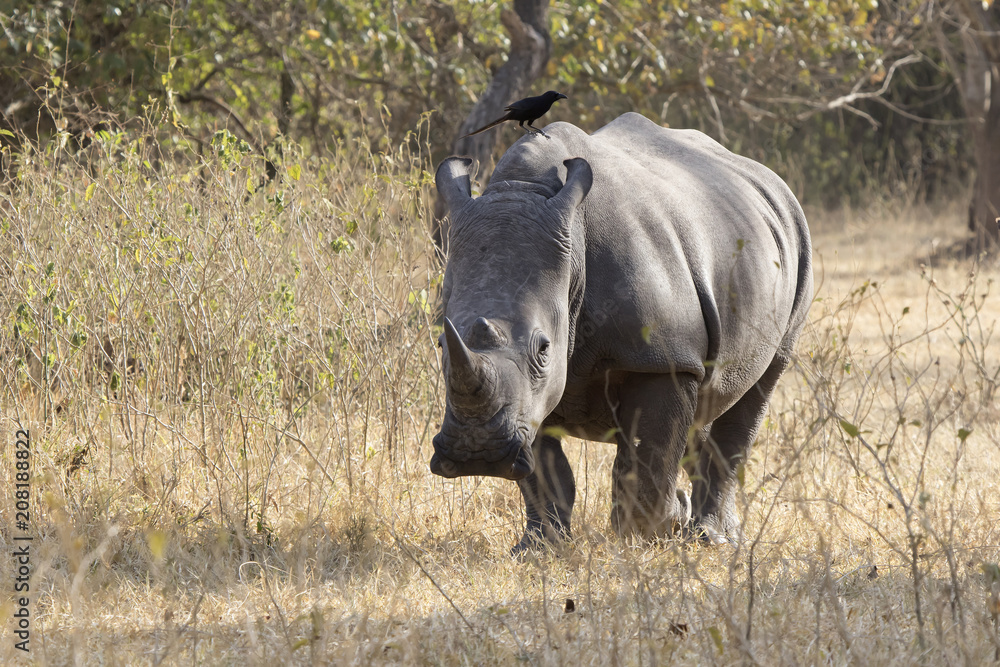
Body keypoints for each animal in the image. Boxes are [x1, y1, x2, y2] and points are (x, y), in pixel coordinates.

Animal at [432, 113, 812, 551]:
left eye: (543, 348)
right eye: (441, 343)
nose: (477, 454)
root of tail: (771, 182)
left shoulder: (663, 359)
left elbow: (649, 456)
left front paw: (647, 538)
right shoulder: (527, 398)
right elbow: (545, 471)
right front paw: (539, 549)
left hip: (798, 242)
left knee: (757, 389)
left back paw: (712, 539)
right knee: (708, 404)